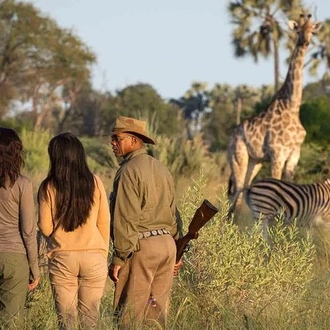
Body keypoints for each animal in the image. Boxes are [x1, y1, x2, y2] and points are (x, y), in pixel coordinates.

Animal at [228, 14, 320, 219]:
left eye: (312, 30)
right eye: (298, 29)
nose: (305, 41)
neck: (292, 106)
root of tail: (231, 137)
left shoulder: (294, 154)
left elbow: (289, 184)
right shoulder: (278, 153)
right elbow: (277, 183)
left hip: (255, 161)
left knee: (241, 190)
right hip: (238, 156)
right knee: (236, 190)